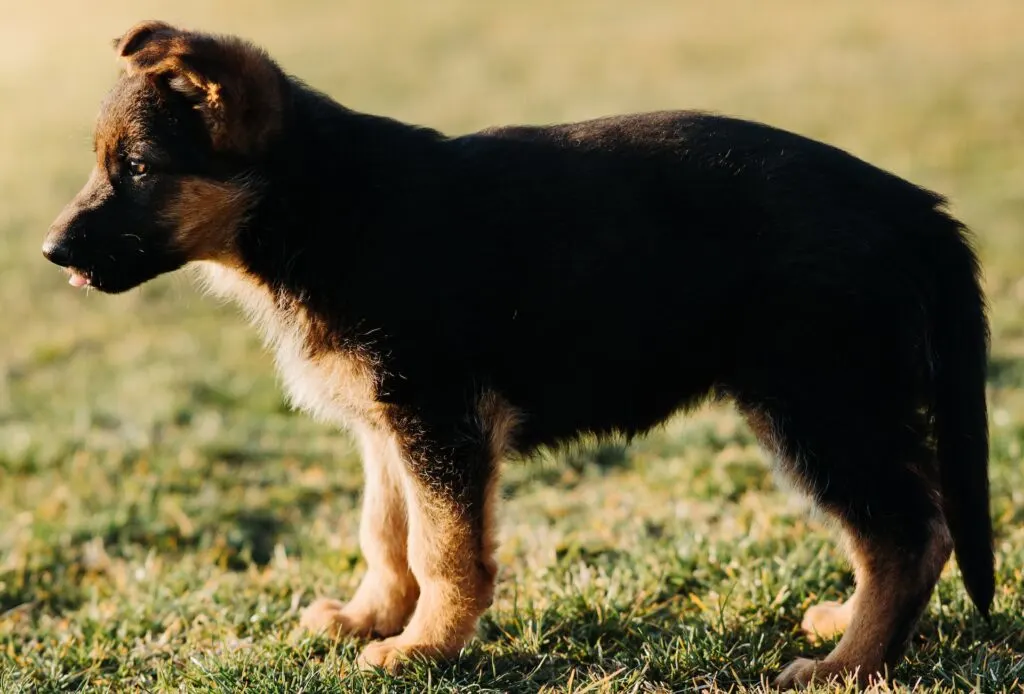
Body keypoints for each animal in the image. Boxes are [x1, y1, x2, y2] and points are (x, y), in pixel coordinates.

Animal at [41, 20, 991, 683]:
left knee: (907, 533)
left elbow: (443, 548)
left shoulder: (440, 419)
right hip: (845, 401)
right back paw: (850, 627)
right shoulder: (390, 427)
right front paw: (373, 617)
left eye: (136, 168)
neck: (319, 203)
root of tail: (913, 207)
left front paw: (423, 649)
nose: (50, 252)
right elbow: (386, 532)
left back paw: (848, 667)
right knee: (904, 525)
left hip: (817, 401)